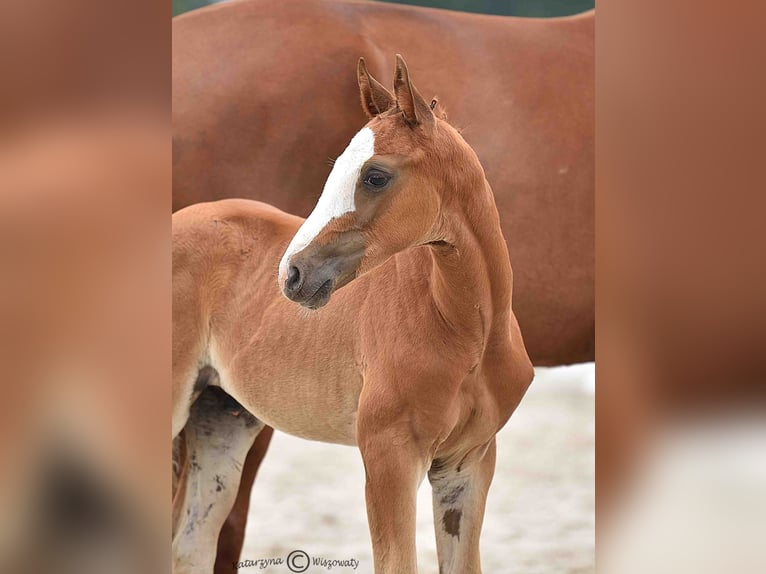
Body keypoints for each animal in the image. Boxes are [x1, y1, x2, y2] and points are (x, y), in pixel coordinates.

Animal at [172, 0, 592, 568]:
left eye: (375, 175)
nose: (293, 274)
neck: (466, 332)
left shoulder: (467, 464)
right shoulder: (388, 456)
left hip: (220, 418)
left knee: (189, 546)